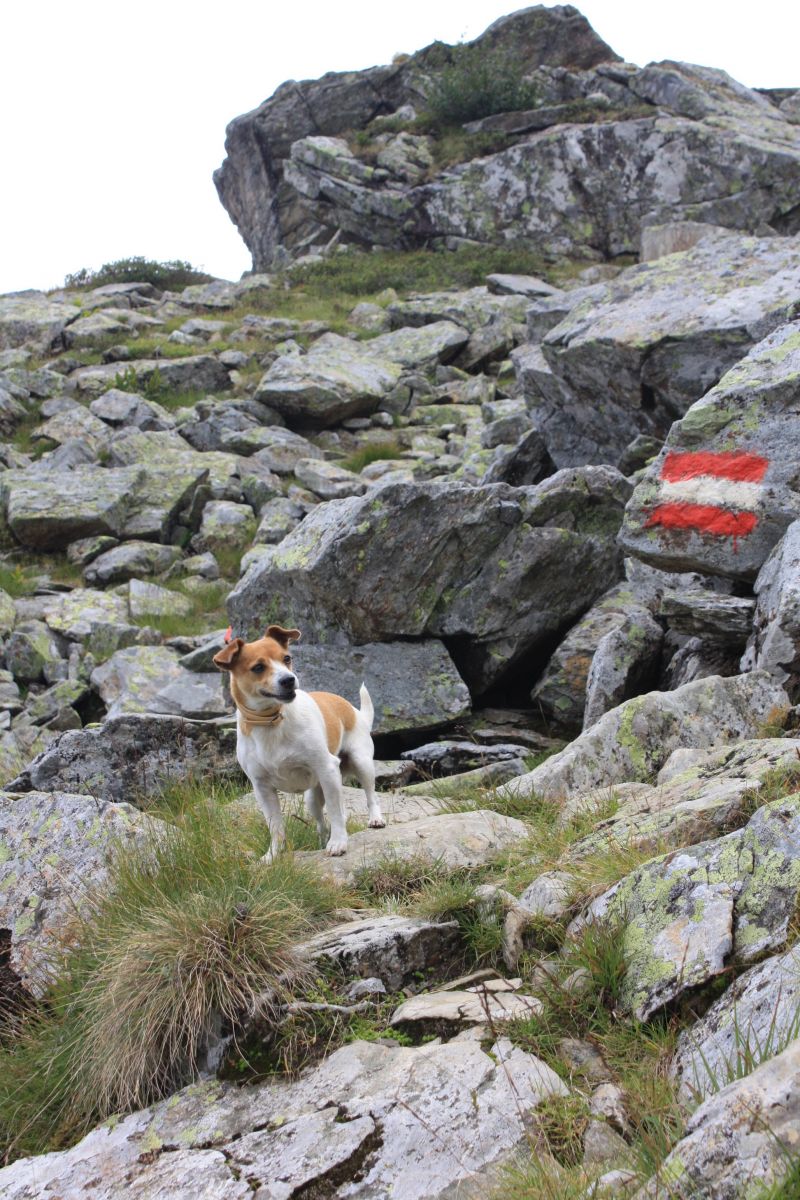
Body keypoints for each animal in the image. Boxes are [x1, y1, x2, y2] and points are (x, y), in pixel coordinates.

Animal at [212, 624, 383, 859]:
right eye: (258, 667)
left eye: (287, 658)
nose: (289, 679)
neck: (271, 720)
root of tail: (354, 710)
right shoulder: (262, 788)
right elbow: (275, 825)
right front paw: (273, 855)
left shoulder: (327, 768)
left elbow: (335, 812)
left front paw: (338, 843)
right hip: (313, 797)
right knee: (322, 822)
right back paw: (322, 840)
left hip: (360, 763)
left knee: (369, 795)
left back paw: (375, 819)